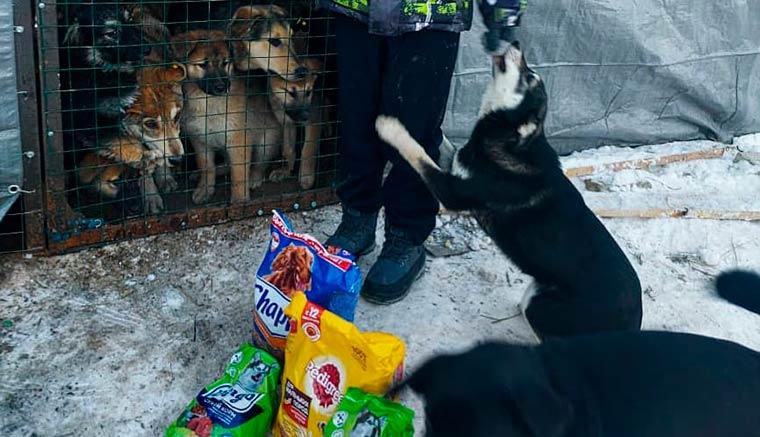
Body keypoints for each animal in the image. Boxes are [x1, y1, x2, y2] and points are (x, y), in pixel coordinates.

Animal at [374, 41, 640, 340]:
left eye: (528, 77)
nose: (516, 43)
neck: (506, 140)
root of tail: (633, 327)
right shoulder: (457, 163)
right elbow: (441, 145)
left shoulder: (451, 190)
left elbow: (417, 153)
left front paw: (390, 128)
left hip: (543, 306)